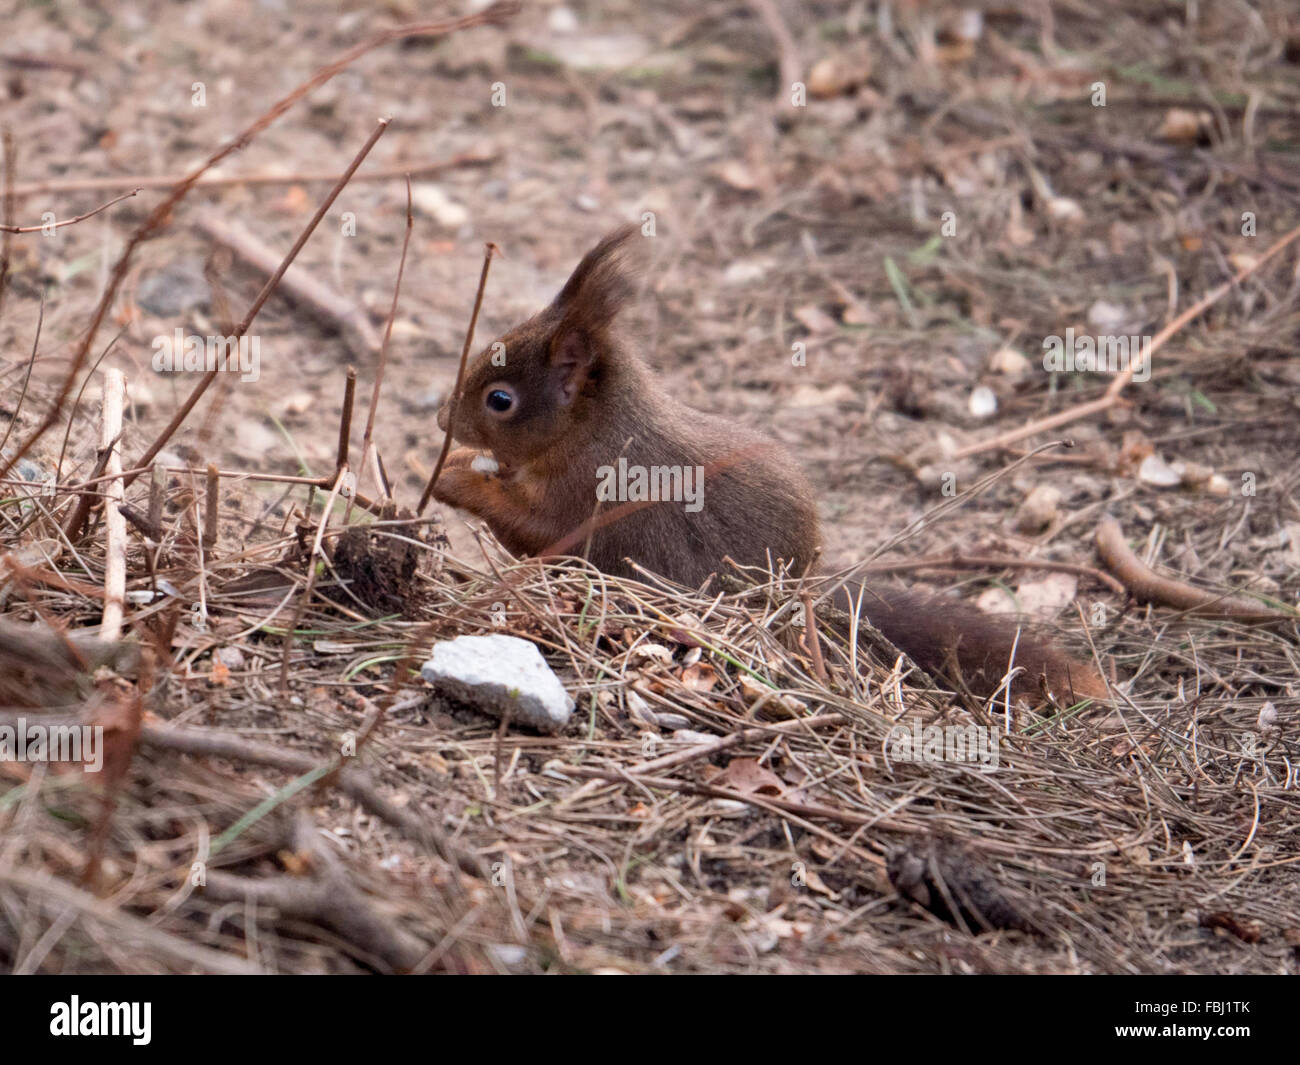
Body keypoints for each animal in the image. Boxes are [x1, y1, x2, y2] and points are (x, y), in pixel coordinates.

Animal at [434, 227, 1107, 702]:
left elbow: (538, 532)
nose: (444, 421)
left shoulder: (592, 497)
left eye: (500, 400)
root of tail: (809, 592)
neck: (590, 432)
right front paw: (465, 461)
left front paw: (453, 476)